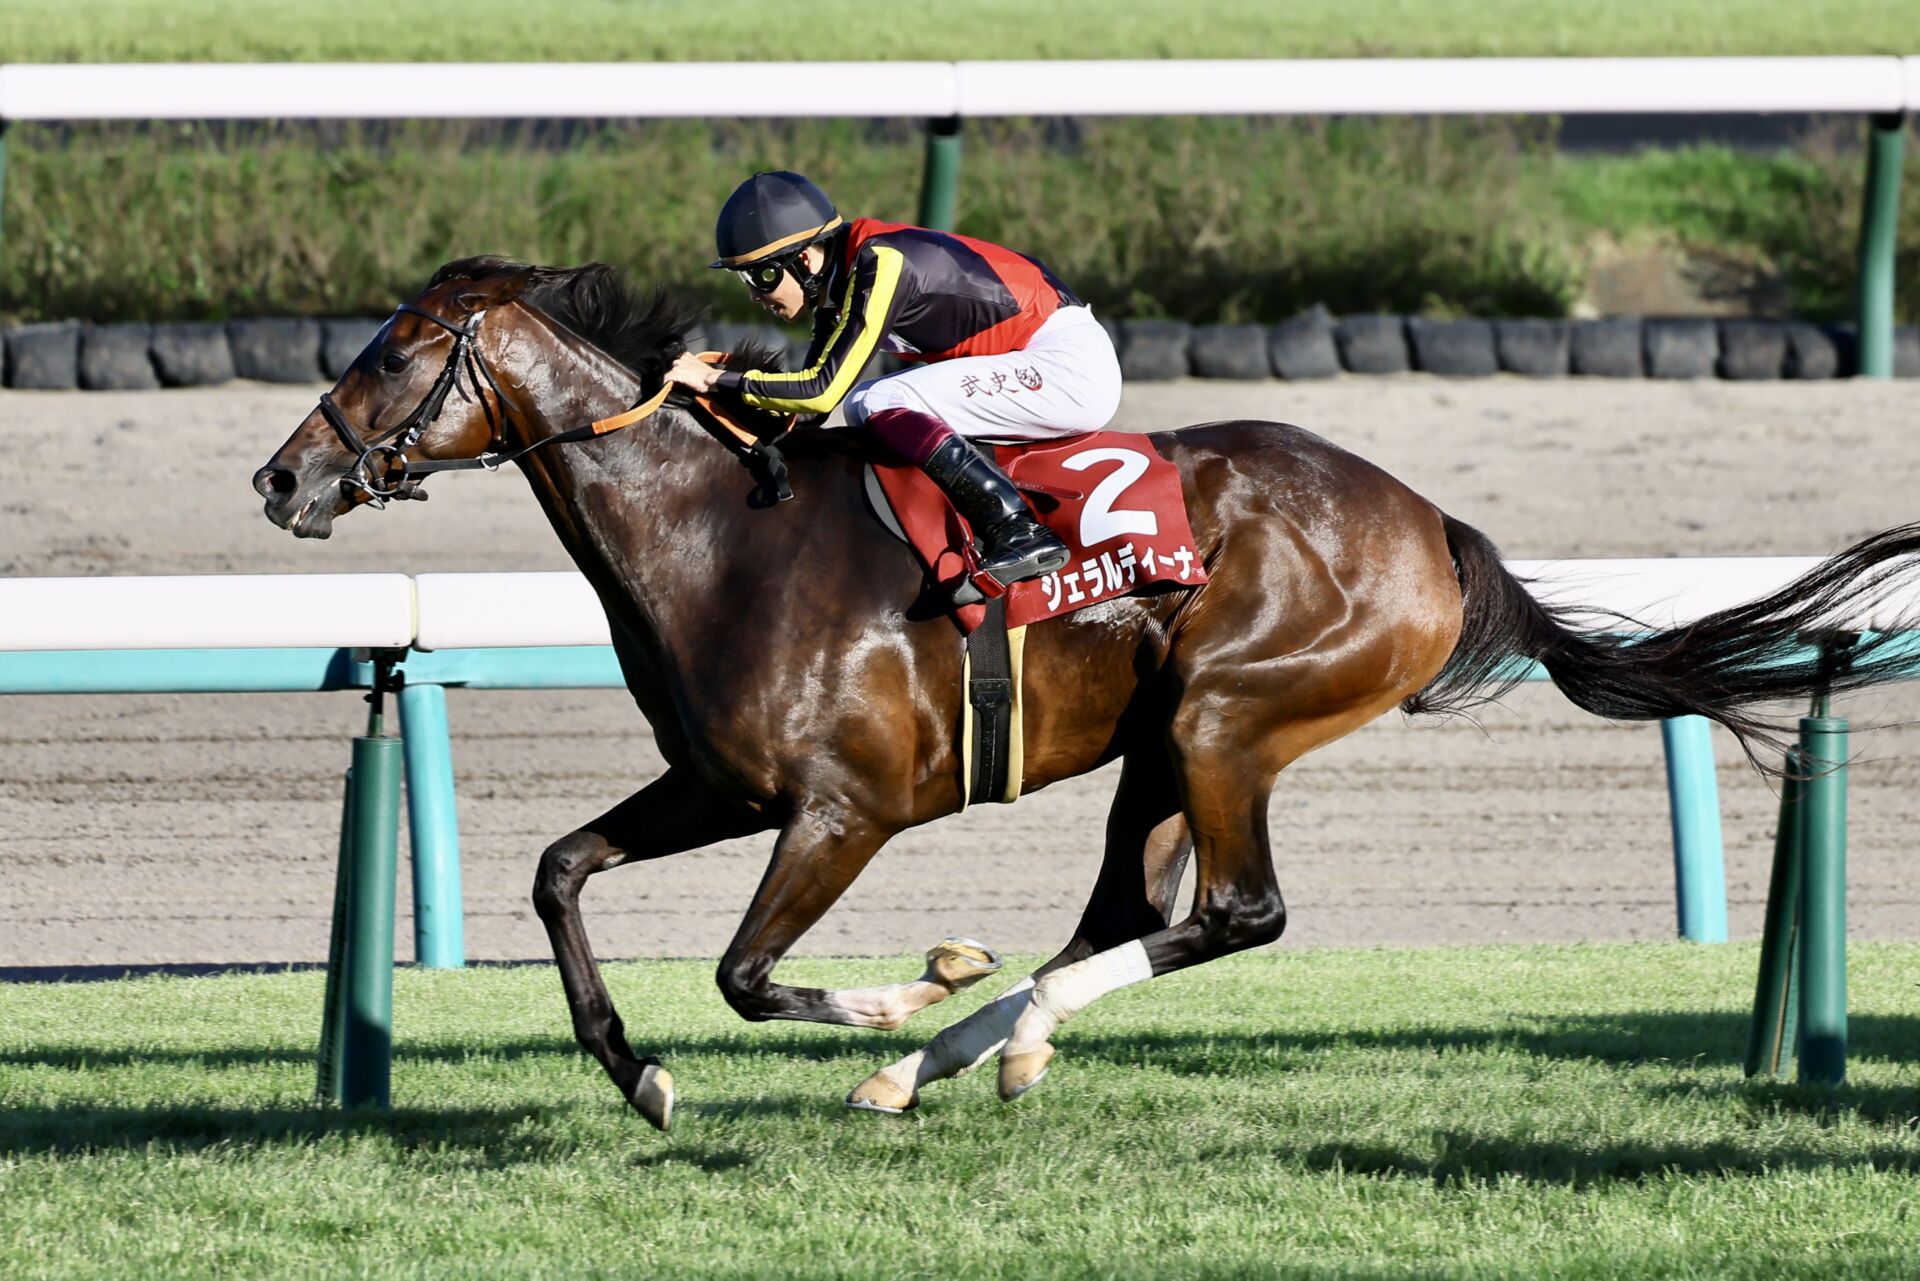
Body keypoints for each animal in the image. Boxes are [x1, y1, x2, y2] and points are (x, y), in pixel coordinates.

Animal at [255, 261, 1920, 1129]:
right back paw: (961, 1056)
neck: (721, 535)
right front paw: (642, 1072)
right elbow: (557, 872)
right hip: (1157, 746)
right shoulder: (722, 787)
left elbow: (744, 970)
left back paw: (969, 1032)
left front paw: (900, 987)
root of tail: (1431, 525)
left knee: (1233, 914)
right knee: (1131, 911)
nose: (281, 478)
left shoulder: (844, 810)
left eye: (393, 353)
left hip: (1228, 718)